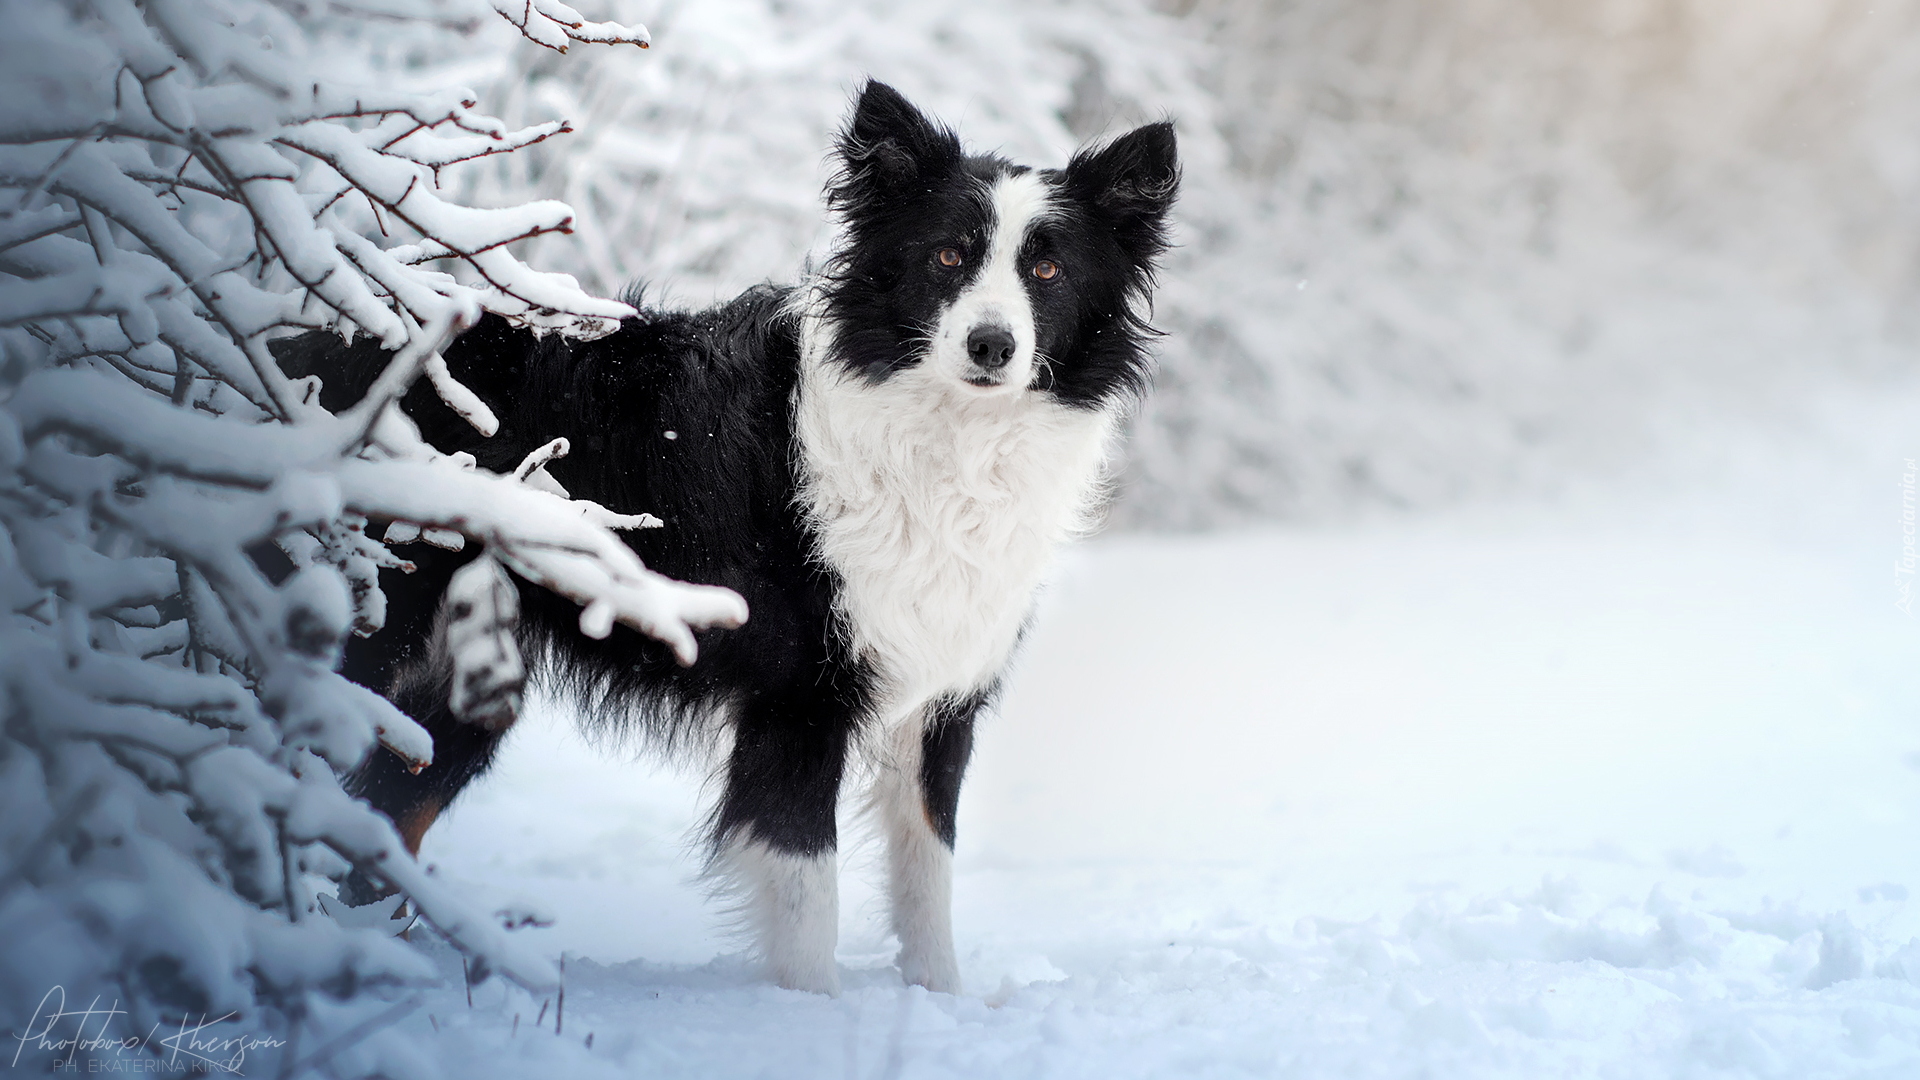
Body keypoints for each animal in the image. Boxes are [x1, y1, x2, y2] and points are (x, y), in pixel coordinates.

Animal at [282, 82, 1175, 991]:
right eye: (948, 258)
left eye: (1048, 269)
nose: (991, 345)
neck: (947, 435)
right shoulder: (799, 698)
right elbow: (809, 899)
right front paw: (809, 1009)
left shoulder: (939, 699)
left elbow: (929, 878)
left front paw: (939, 1002)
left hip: (452, 694)